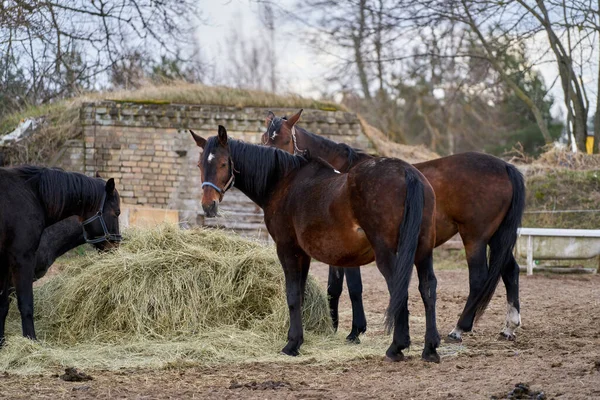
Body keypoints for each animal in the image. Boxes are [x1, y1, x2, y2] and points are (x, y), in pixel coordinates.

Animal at [0, 167, 122, 346]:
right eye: (117, 212)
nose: (115, 247)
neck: (32, 195)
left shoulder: (5, 265)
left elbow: (2, 305)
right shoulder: (22, 260)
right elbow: (25, 304)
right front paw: (31, 341)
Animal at [192, 126, 440, 362]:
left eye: (224, 163)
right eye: (199, 164)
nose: (208, 205)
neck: (284, 181)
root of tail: (407, 172)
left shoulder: (288, 249)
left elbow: (293, 295)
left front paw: (292, 344)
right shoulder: (304, 254)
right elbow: (301, 295)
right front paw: (298, 339)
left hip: (387, 254)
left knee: (399, 289)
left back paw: (396, 347)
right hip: (422, 251)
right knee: (427, 288)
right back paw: (430, 348)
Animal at [262, 109, 524, 344]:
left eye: (285, 140)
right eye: (264, 139)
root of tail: (505, 166)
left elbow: (352, 287)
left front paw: (354, 331)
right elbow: (334, 287)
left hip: (474, 237)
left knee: (479, 278)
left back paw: (459, 328)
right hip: (496, 237)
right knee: (510, 270)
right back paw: (509, 326)